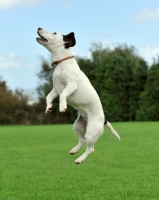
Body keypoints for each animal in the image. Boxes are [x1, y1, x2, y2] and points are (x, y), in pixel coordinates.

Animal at [36, 27, 120, 163]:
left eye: (54, 33)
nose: (39, 28)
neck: (62, 64)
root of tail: (104, 120)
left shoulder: (70, 85)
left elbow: (63, 95)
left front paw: (62, 107)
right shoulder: (55, 89)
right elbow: (48, 96)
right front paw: (48, 107)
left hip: (91, 132)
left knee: (90, 149)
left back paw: (79, 159)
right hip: (77, 127)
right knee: (82, 140)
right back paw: (74, 150)